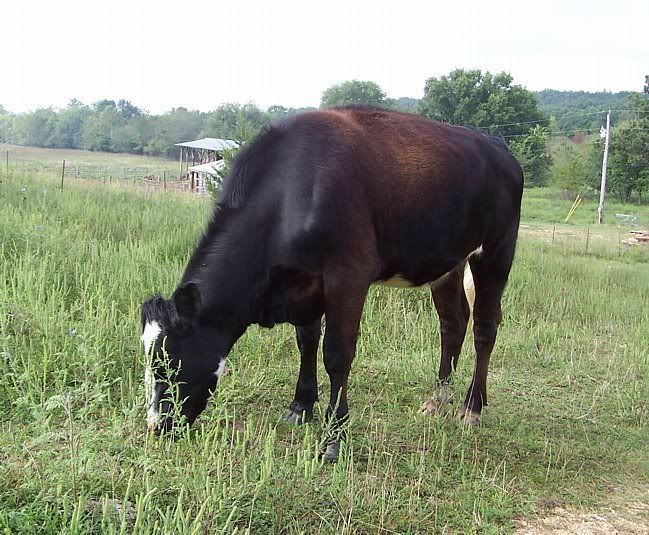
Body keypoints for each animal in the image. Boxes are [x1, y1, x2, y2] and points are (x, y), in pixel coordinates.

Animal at [140, 107, 523, 461]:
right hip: (448, 262)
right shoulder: (304, 284)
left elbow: (337, 354)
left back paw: (472, 407)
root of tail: (497, 145)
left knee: (485, 327)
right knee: (452, 324)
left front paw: (334, 438)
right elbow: (306, 342)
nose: (156, 426)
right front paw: (300, 407)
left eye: (167, 362)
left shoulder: (349, 275)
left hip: (496, 250)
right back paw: (437, 399)